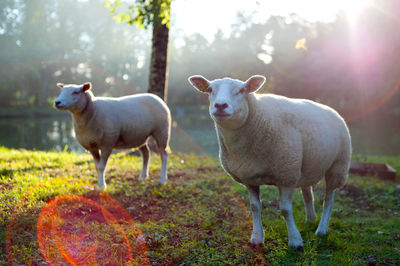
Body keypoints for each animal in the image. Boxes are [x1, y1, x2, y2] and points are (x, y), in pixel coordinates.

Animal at [189, 74, 352, 249]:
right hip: (305, 166)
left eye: (242, 90)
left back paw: (321, 229)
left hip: (338, 165)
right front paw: (257, 238)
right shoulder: (249, 177)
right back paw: (310, 219)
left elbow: (285, 210)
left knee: (329, 200)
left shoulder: (286, 175)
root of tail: (332, 110)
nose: (220, 105)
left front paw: (295, 241)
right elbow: (254, 207)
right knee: (308, 194)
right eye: (210, 89)